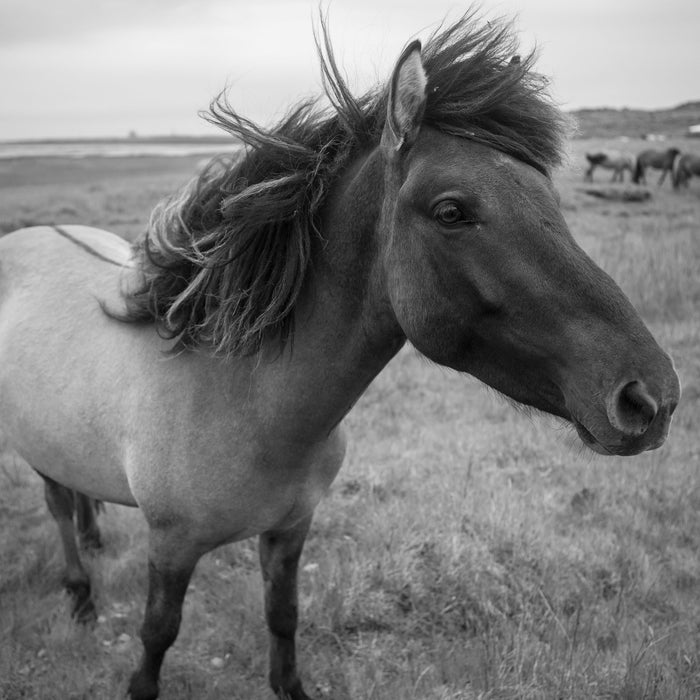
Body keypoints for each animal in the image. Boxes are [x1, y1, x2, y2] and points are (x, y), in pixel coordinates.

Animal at [0, 10, 680, 700]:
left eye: (552, 199)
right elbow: (156, 636)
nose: (650, 397)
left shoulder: (291, 530)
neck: (244, 401)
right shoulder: (171, 546)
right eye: (452, 211)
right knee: (57, 507)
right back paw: (80, 594)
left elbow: (282, 616)